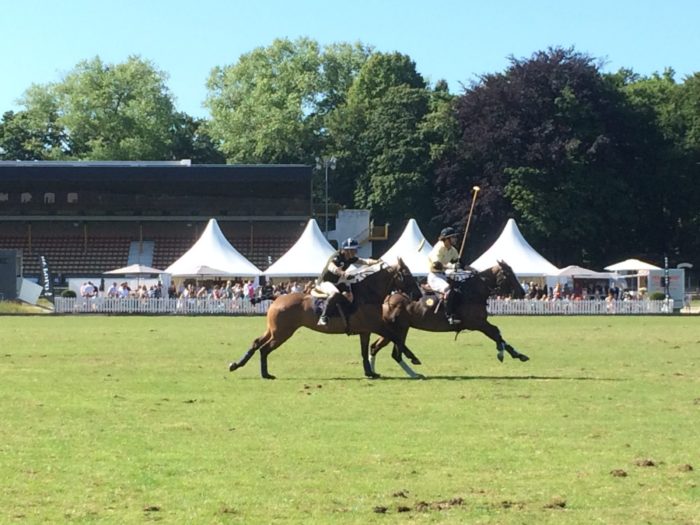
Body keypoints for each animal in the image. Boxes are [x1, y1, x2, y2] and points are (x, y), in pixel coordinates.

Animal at [230, 258, 424, 378]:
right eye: (407, 274)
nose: (419, 294)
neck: (368, 295)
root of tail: (277, 297)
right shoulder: (376, 326)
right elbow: (396, 337)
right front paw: (413, 358)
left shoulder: (365, 330)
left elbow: (365, 351)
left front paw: (370, 373)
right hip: (282, 333)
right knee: (264, 348)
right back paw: (264, 374)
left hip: (273, 330)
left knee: (257, 343)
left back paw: (238, 365)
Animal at [370, 258, 528, 376]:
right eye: (508, 273)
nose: (522, 292)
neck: (474, 292)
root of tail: (387, 299)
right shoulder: (477, 323)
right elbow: (496, 332)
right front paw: (502, 352)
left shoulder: (480, 323)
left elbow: (499, 335)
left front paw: (518, 354)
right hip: (399, 329)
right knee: (394, 353)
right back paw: (411, 372)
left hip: (397, 329)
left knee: (376, 347)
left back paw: (376, 372)